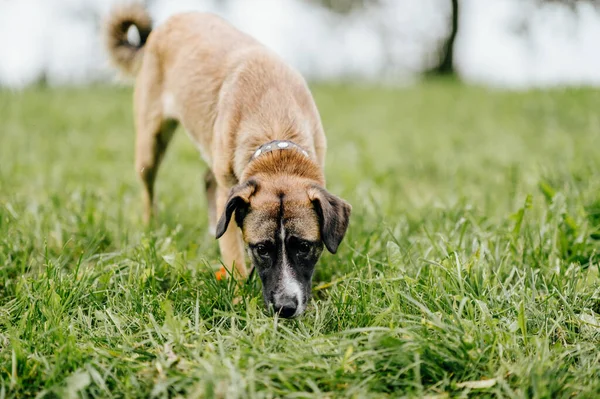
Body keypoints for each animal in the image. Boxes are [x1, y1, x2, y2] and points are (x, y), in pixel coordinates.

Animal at [105, 1, 352, 318]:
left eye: (305, 246)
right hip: (151, 144)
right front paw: (238, 300)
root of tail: (166, 25)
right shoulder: (230, 192)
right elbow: (233, 253)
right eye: (261, 249)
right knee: (150, 189)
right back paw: (152, 227)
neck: (275, 130)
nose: (285, 308)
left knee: (207, 180)